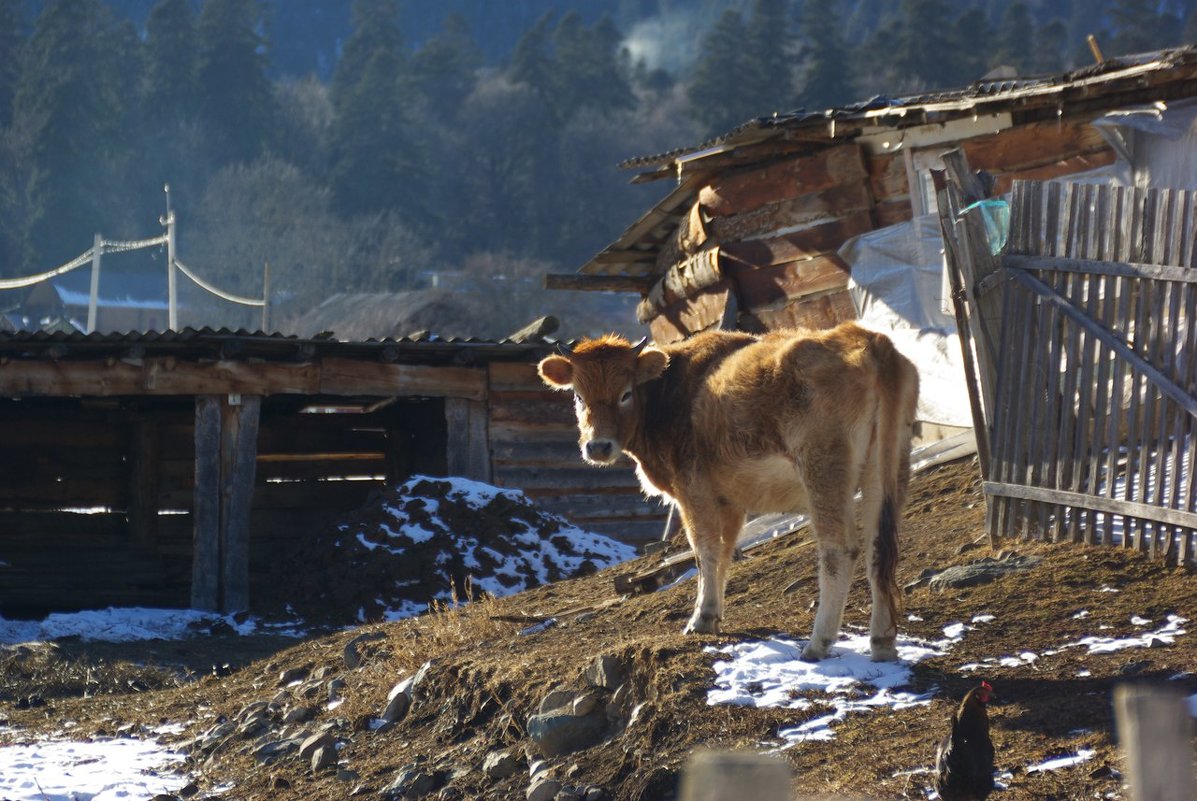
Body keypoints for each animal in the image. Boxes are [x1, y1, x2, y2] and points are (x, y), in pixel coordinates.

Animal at [538, 320, 919, 660]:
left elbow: (704, 550)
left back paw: (818, 643)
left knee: (839, 549)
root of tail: (867, 340)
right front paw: (713, 615)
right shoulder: (730, 501)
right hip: (887, 467)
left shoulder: (693, 489)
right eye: (578, 395)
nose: (598, 446)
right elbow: (724, 550)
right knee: (879, 548)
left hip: (824, 469)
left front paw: (701, 618)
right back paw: (882, 643)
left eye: (626, 394)